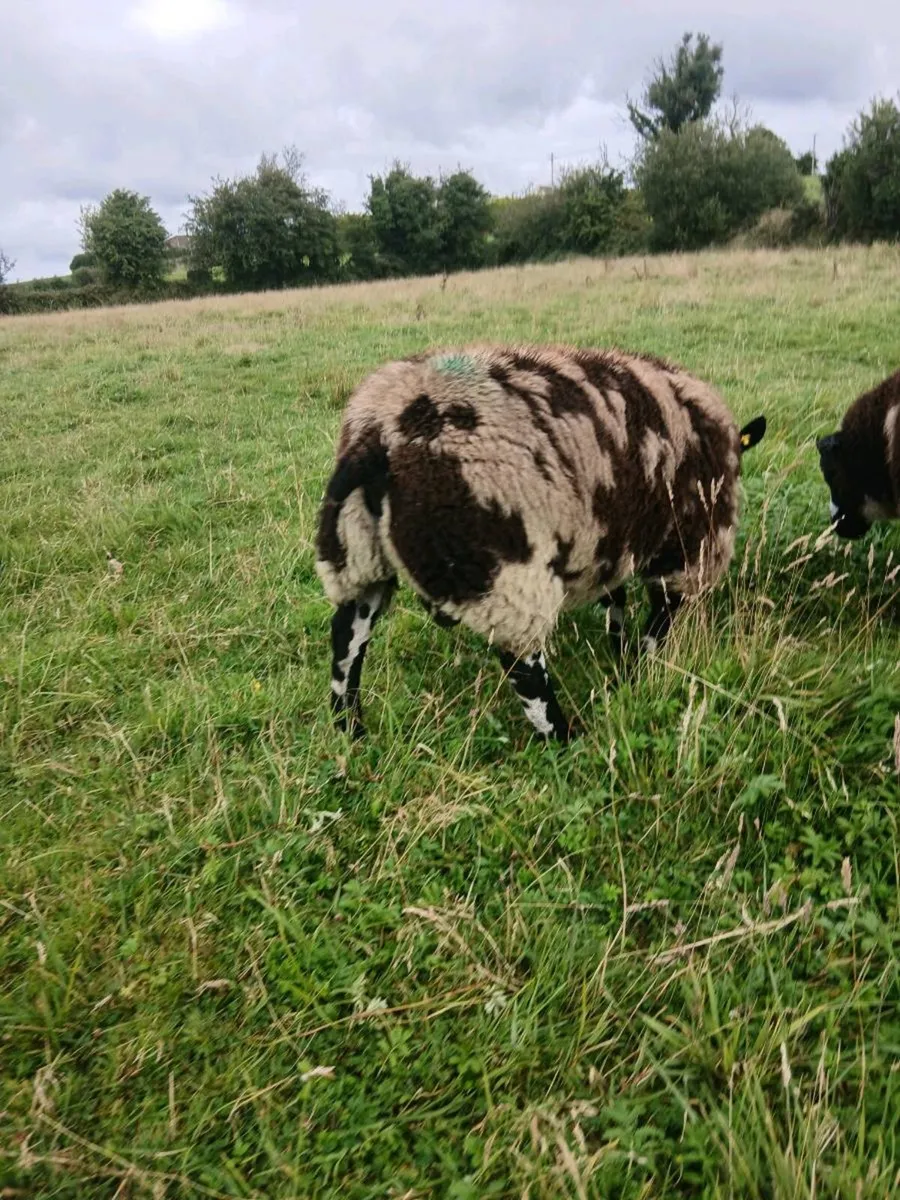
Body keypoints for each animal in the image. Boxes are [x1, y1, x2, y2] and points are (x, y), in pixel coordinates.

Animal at [315, 342, 766, 744]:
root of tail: (376, 436)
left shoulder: (605, 535)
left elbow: (616, 600)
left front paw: (621, 652)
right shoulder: (690, 545)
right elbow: (661, 618)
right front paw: (641, 669)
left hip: (359, 554)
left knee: (347, 638)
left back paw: (351, 730)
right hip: (506, 571)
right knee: (523, 665)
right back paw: (566, 739)